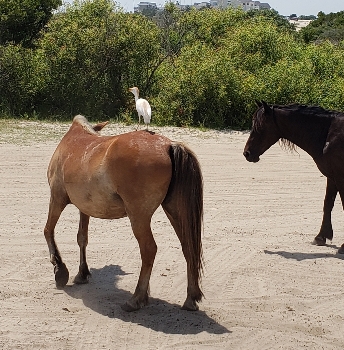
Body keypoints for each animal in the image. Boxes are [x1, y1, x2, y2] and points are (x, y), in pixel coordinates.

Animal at [44, 115, 203, 312]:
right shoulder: (85, 207)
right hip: (175, 211)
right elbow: (82, 238)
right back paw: (190, 299)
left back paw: (136, 298)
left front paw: (59, 268)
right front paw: (82, 273)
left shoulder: (56, 197)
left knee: (149, 249)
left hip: (139, 217)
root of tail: (168, 145)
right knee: (188, 247)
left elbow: (48, 230)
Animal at [243, 100, 344, 253]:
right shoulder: (332, 177)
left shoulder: (340, 177)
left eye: (260, 126)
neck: (329, 134)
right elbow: (328, 204)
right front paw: (321, 237)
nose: (247, 153)